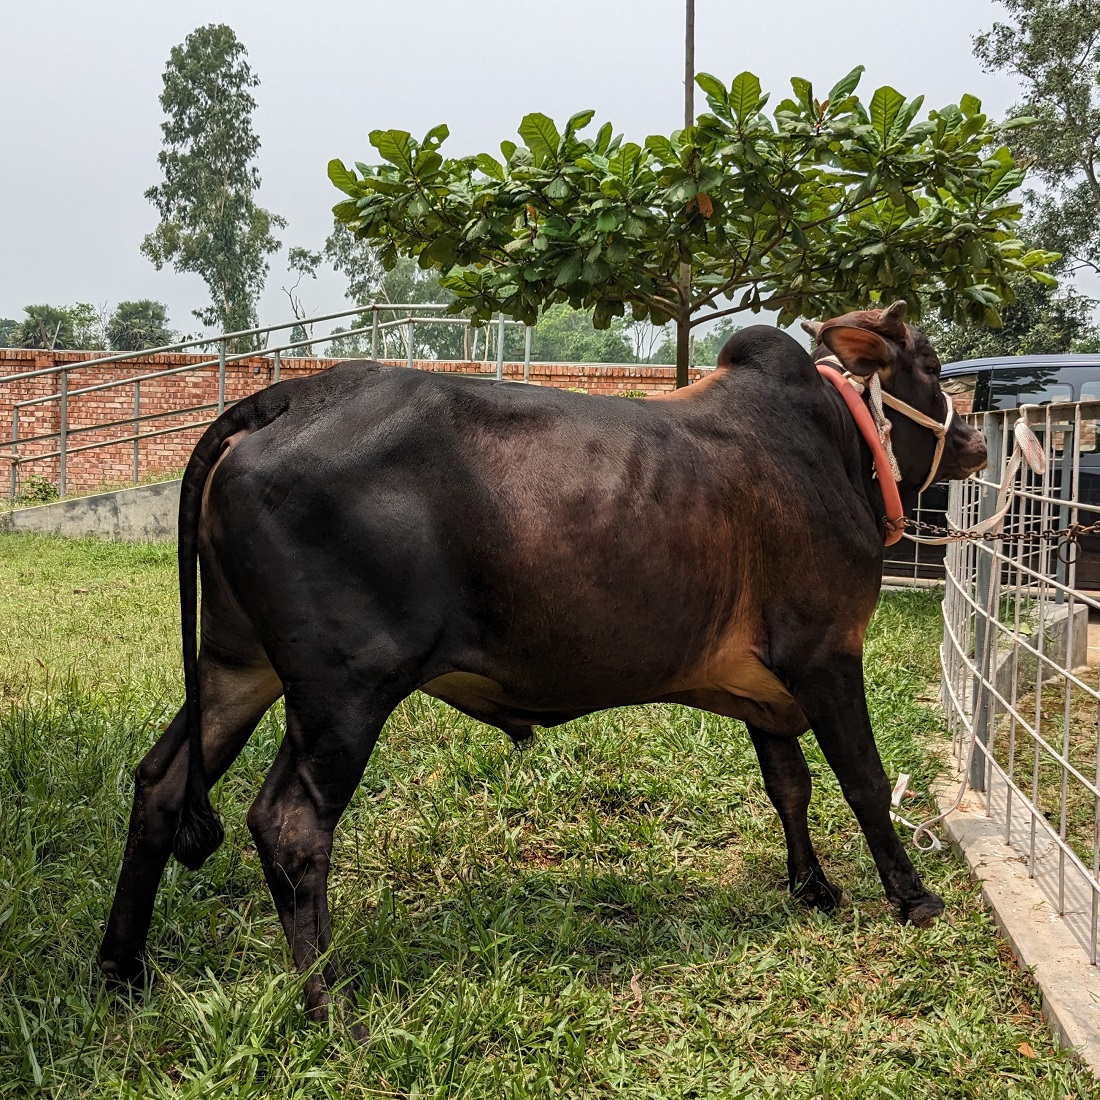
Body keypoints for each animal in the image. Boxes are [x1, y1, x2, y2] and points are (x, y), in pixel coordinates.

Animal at [96, 299, 990, 1020]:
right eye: (932, 367)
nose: (979, 438)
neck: (837, 446)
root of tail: (284, 396)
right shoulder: (826, 653)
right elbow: (865, 783)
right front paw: (913, 898)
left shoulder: (765, 686)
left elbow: (790, 787)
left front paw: (813, 888)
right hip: (344, 690)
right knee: (289, 825)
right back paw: (329, 1006)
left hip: (237, 667)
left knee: (162, 783)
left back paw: (120, 970)